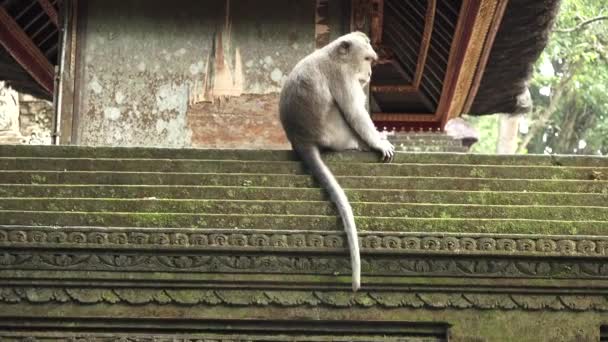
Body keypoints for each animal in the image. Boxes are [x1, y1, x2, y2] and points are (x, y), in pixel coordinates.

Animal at [280, 31, 394, 292]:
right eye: (366, 59)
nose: (369, 75)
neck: (334, 54)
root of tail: (301, 140)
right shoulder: (343, 76)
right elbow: (355, 112)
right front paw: (378, 142)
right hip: (337, 133)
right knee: (347, 112)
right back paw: (361, 144)